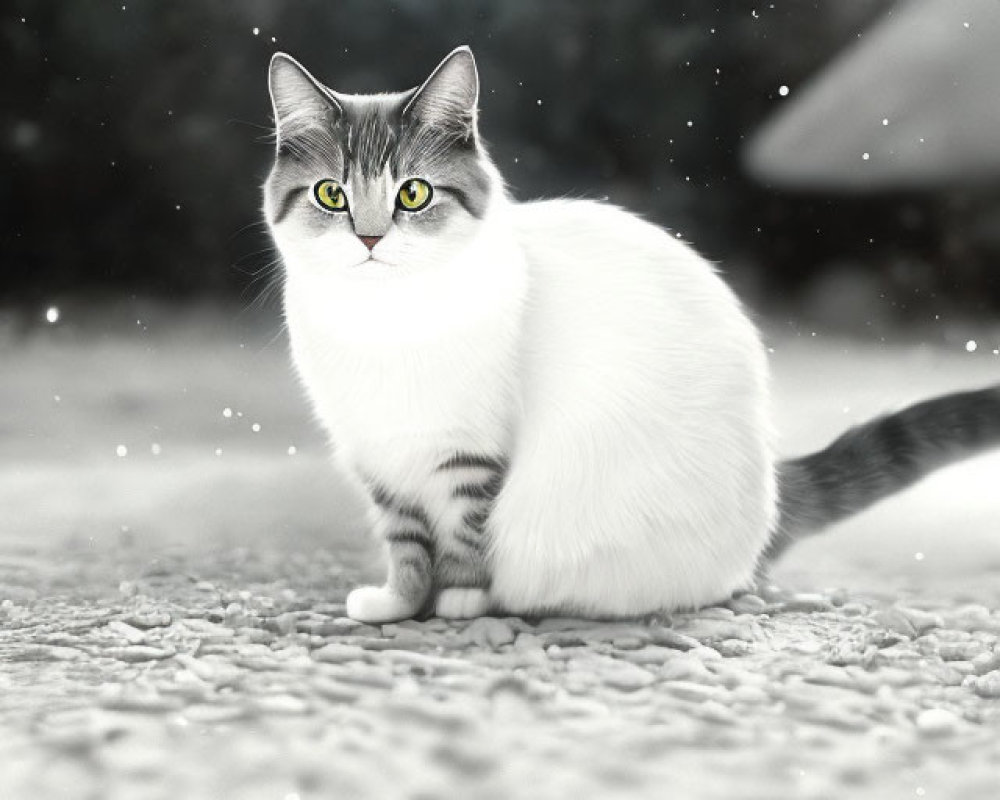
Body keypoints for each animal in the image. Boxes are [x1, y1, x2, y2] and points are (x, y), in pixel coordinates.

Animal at [264, 45, 1000, 624]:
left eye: (413, 195)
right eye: (332, 195)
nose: (369, 238)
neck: (383, 324)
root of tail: (770, 491)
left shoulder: (471, 455)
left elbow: (466, 538)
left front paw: (462, 602)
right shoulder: (379, 460)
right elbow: (408, 546)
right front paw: (399, 604)